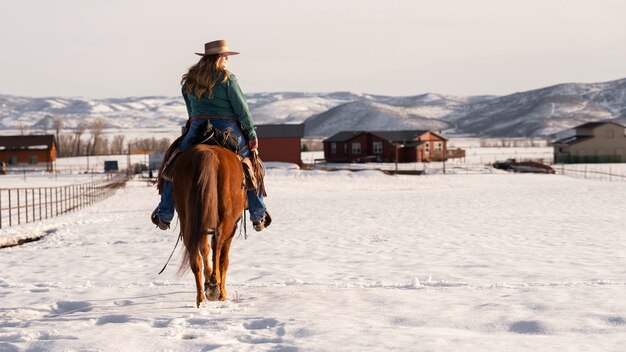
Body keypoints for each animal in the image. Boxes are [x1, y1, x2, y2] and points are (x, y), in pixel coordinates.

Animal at [173, 144, 249, 306]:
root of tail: (207, 153)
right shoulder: (232, 228)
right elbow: (223, 259)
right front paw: (221, 291)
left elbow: (205, 249)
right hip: (227, 219)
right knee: (217, 242)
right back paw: (215, 286)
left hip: (187, 219)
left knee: (195, 256)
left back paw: (201, 297)